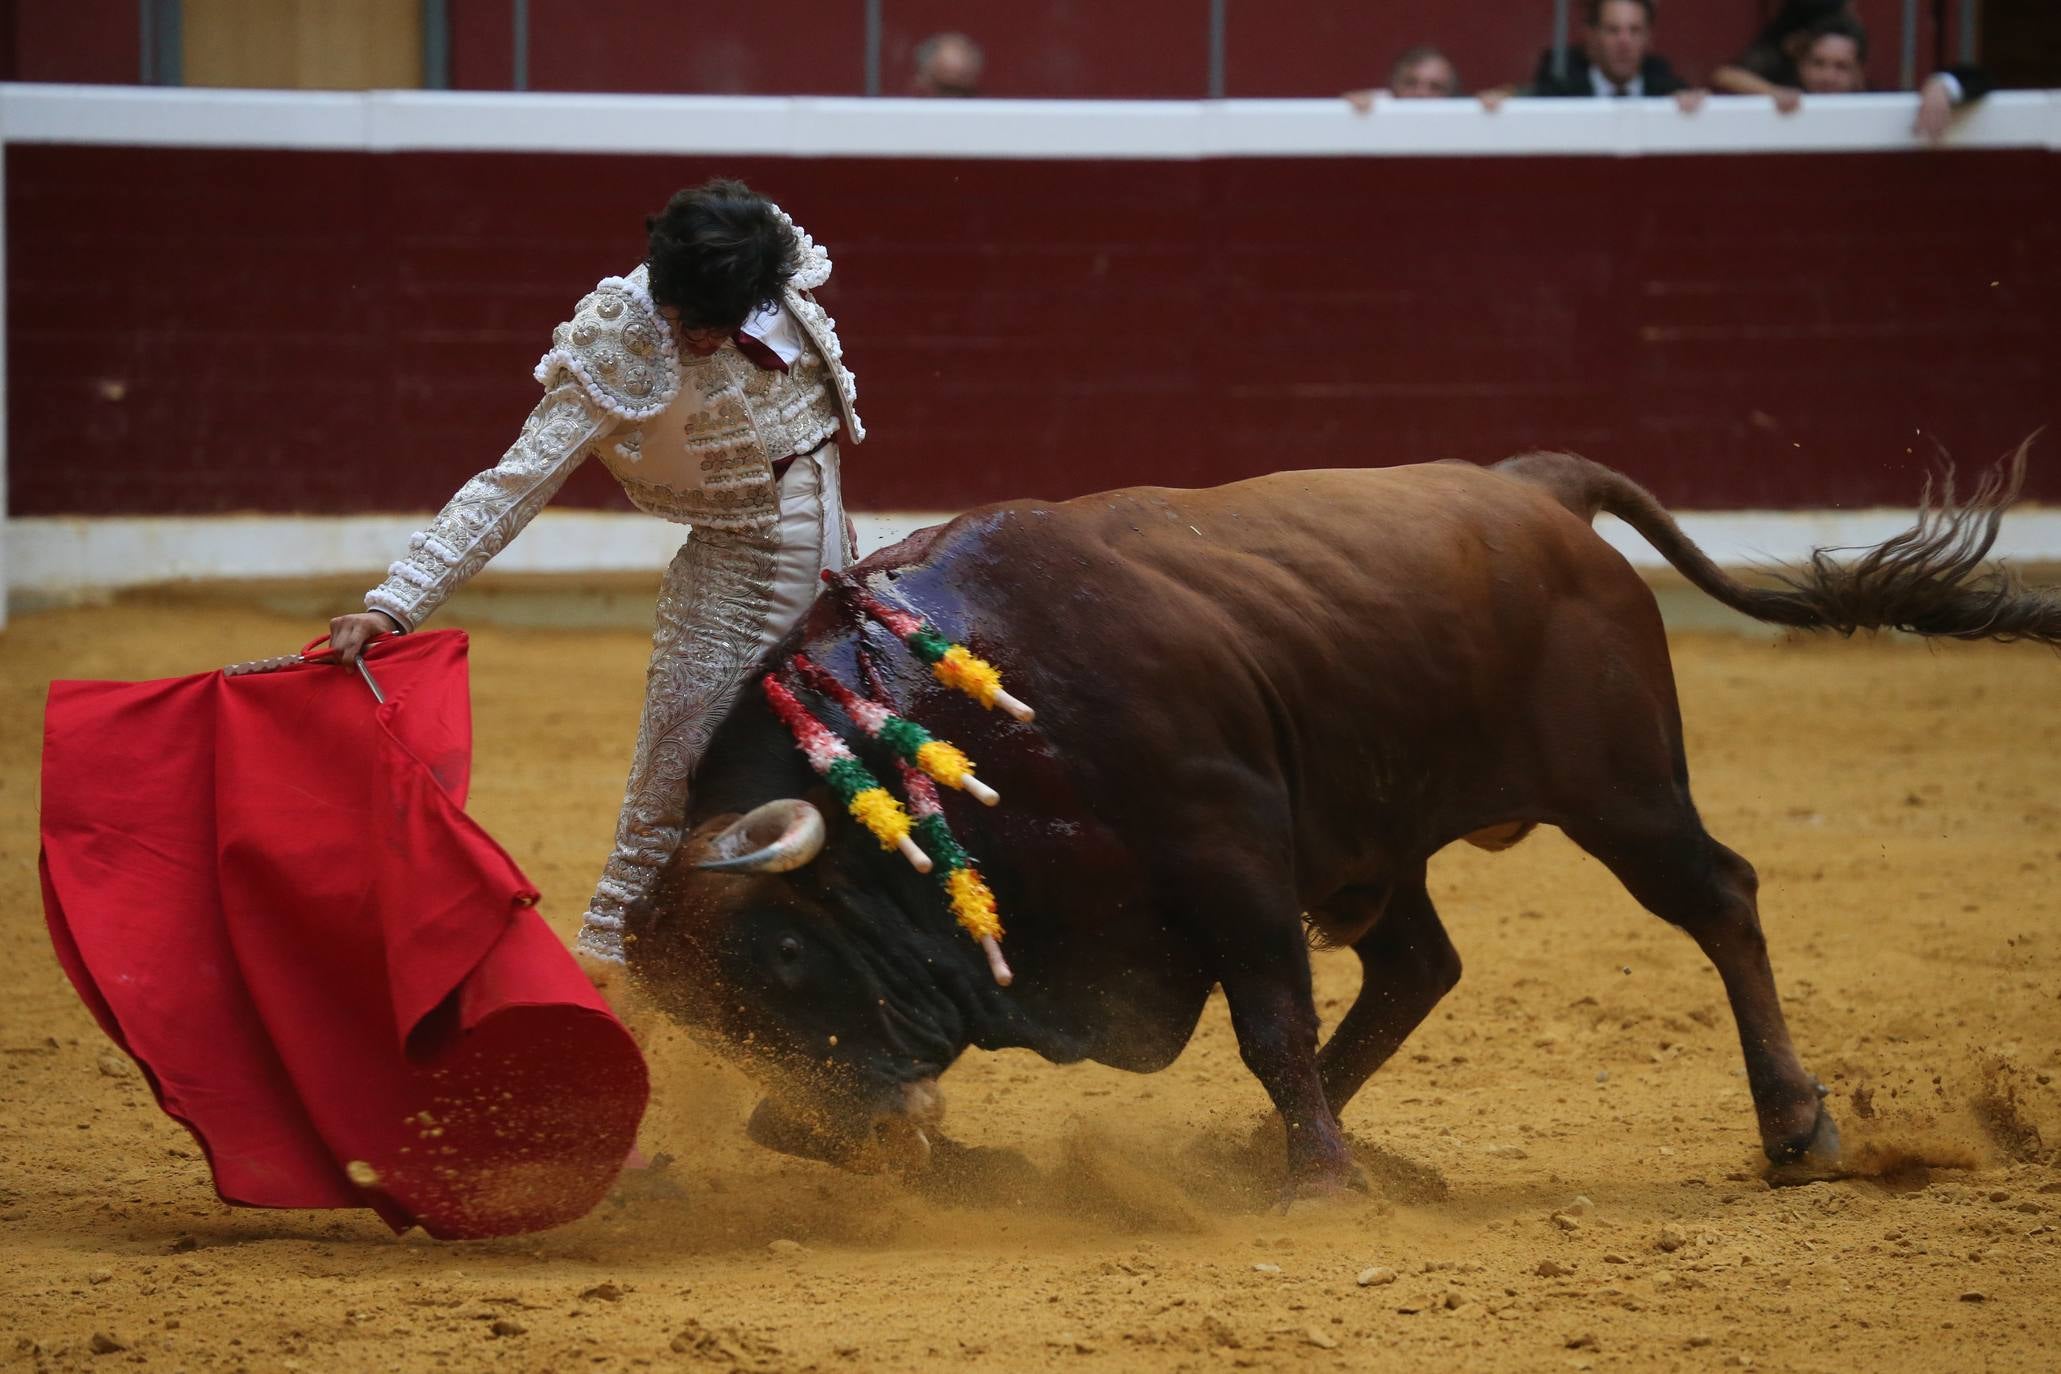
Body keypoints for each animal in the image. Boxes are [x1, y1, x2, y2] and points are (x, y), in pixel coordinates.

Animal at [626, 449, 2061, 1194]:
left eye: (786, 952)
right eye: (708, 1016)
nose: (821, 1129)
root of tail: (1534, 488)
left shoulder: (1233, 853)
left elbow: (1268, 1019)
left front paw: (1321, 1183)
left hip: (1624, 794)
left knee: (1719, 898)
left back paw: (1797, 1127)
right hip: (1382, 841)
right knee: (1421, 962)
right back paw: (1251, 1149)